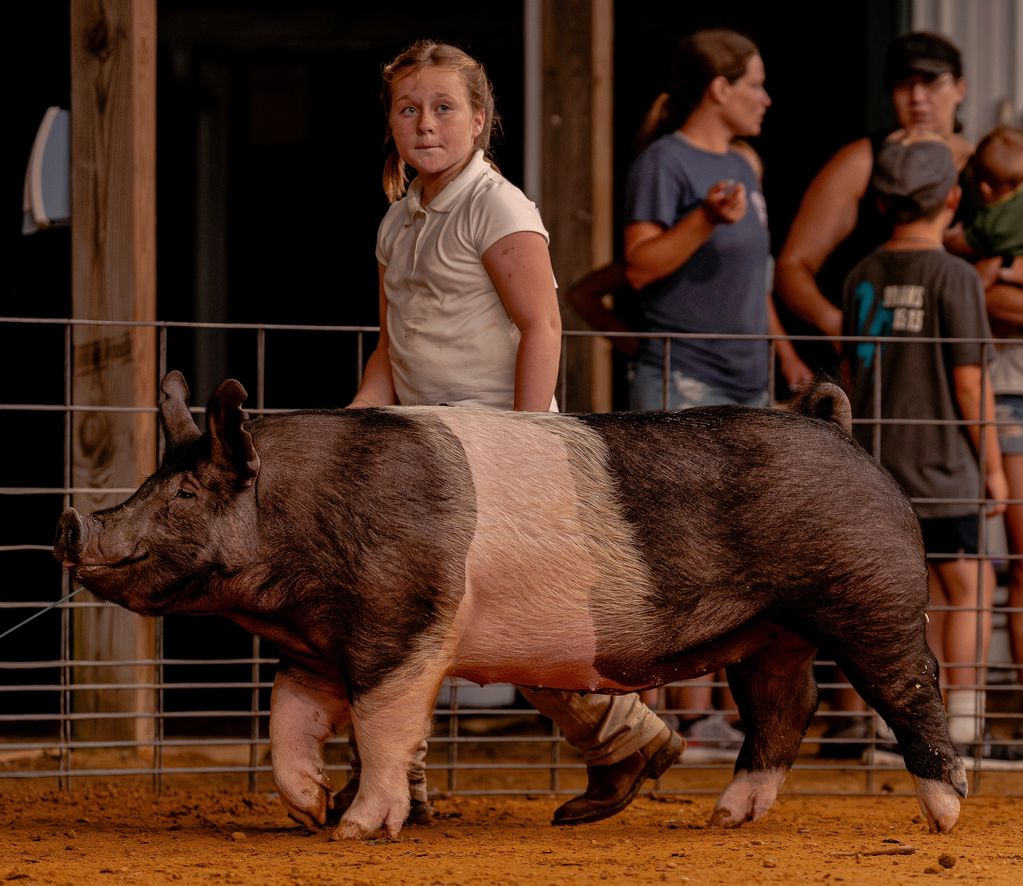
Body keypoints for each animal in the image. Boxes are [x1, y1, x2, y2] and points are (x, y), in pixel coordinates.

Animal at [54, 371, 968, 841]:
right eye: (152, 478)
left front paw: (357, 831)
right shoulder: (315, 647)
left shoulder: (403, 623)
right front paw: (312, 810)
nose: (69, 521)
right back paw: (722, 819)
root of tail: (837, 427)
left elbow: (383, 726)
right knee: (787, 704)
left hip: (870, 592)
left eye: (185, 491)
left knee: (910, 685)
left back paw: (944, 815)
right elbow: (288, 727)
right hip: (765, 631)